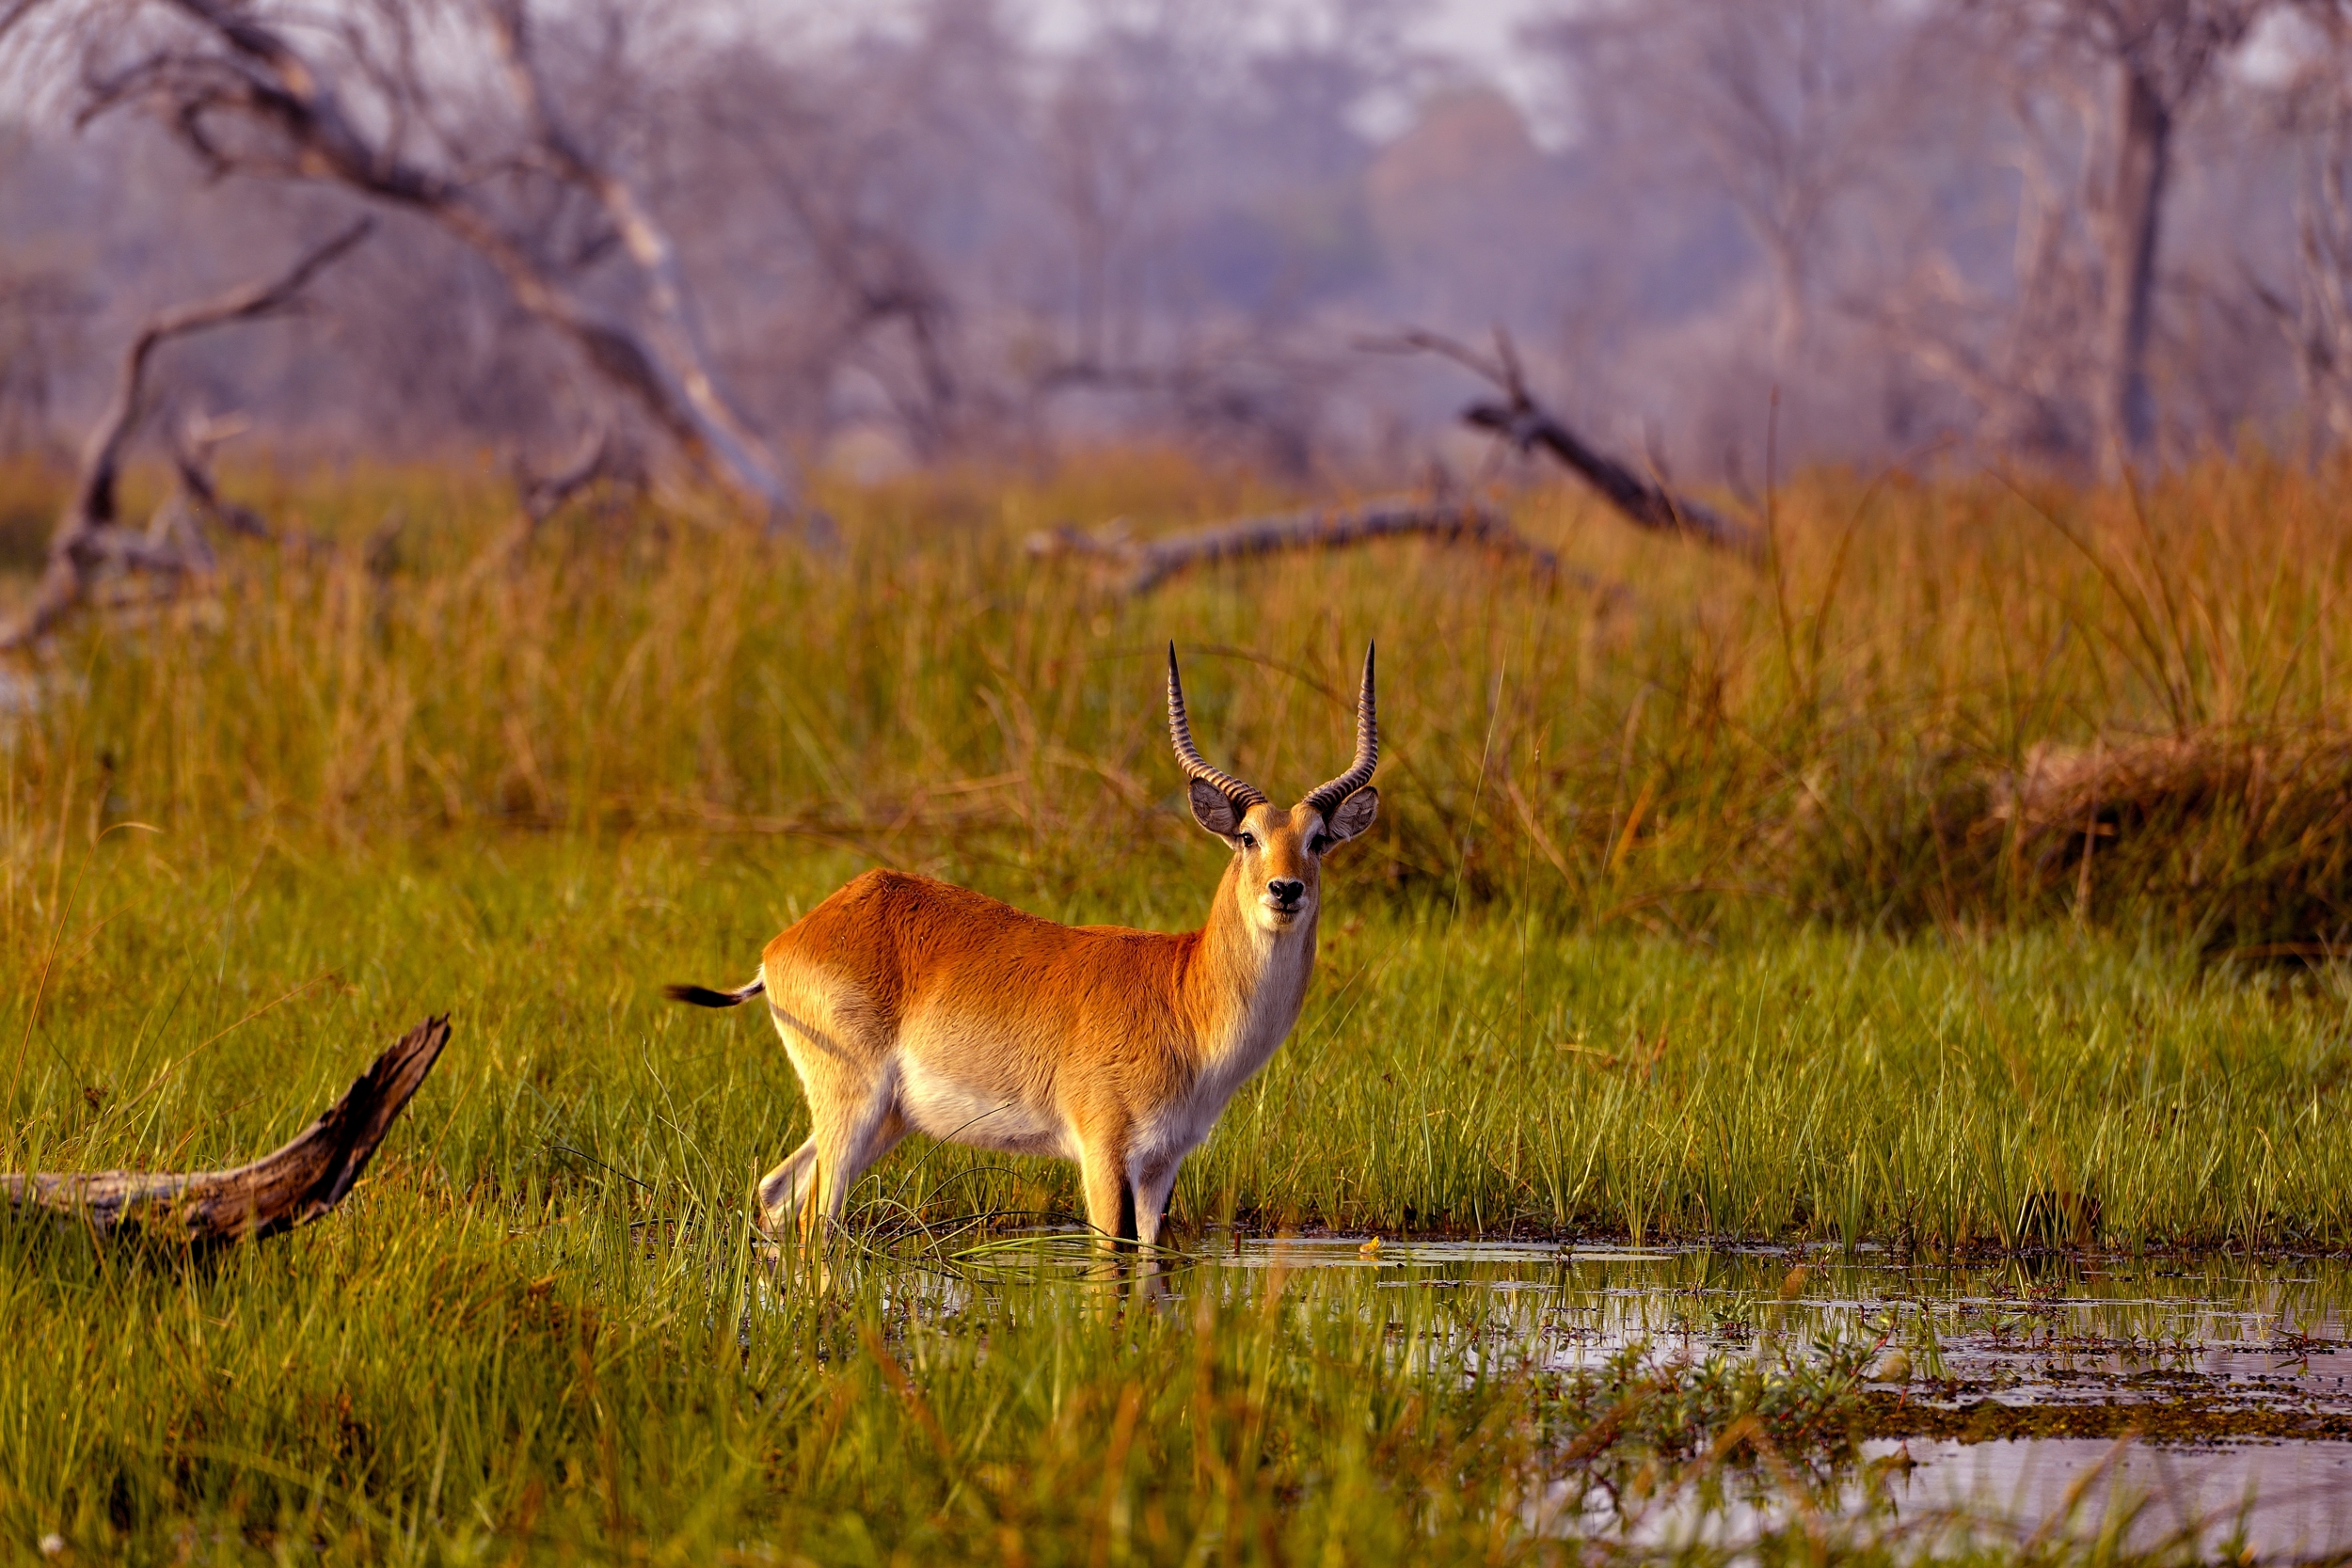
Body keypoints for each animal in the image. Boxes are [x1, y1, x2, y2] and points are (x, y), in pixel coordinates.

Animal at [665, 644, 1379, 1253]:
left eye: (1318, 839)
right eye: (1248, 837)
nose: (1285, 890)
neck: (1183, 994)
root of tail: (790, 939)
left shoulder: (1161, 1163)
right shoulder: (1102, 1150)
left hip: (884, 1119)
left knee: (775, 1192)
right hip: (853, 1104)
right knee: (815, 1215)